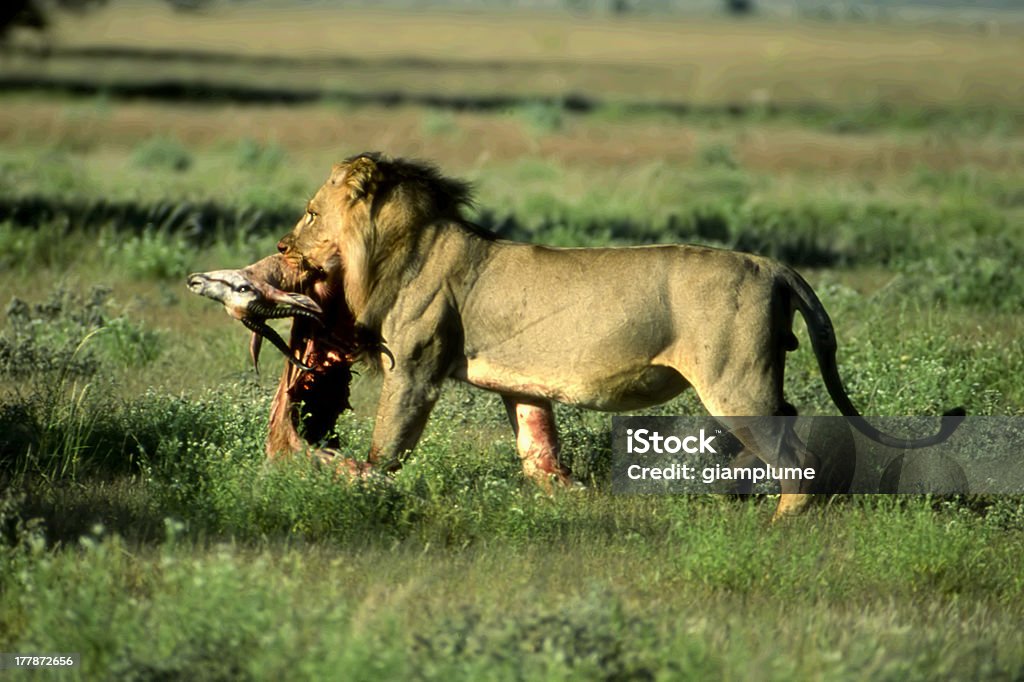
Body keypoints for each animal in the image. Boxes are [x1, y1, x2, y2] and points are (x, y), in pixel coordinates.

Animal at [274, 151, 958, 518]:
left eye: (309, 213)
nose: (280, 246)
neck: (399, 247)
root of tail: (770, 264)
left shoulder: (414, 369)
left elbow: (387, 444)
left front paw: (360, 486)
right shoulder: (521, 386)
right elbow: (537, 445)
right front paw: (562, 495)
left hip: (735, 381)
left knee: (796, 455)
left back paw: (776, 523)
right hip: (752, 380)